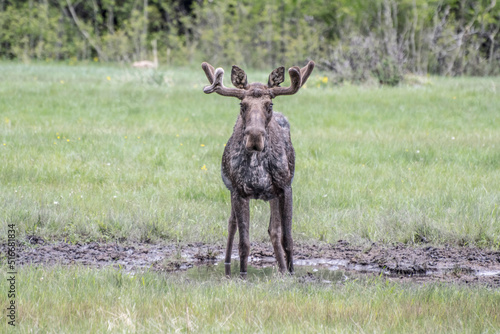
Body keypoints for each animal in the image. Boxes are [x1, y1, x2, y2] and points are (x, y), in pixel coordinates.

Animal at [201, 60, 314, 276]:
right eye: (242, 105)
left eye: (269, 104)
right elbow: (244, 243)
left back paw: (282, 269)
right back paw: (227, 264)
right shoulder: (238, 191)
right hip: (233, 191)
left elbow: (287, 238)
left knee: (274, 231)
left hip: (273, 195)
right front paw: (242, 274)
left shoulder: (285, 188)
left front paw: (291, 272)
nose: (254, 136)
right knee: (232, 225)